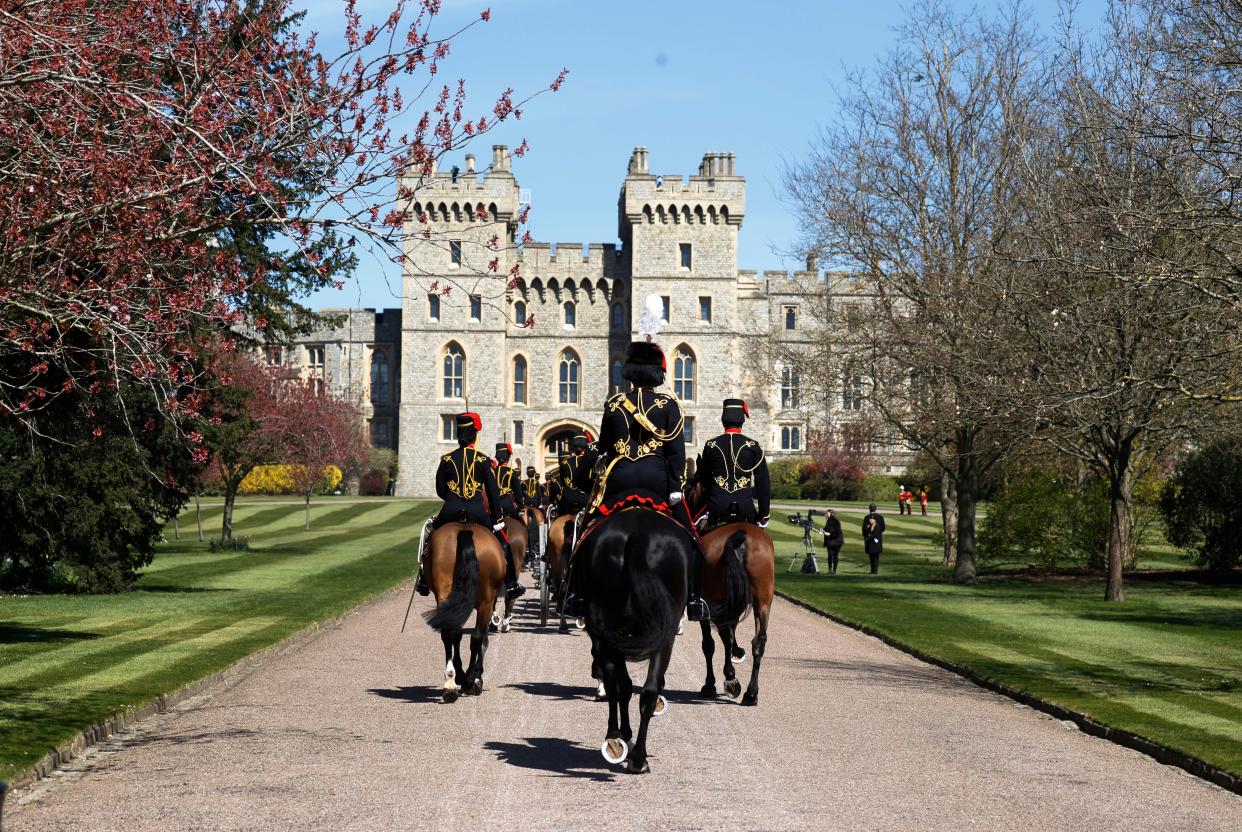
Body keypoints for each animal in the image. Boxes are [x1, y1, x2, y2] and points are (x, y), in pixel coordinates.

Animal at [424, 529, 506, 705]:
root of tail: (465, 530)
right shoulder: (488, 603)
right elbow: (482, 641)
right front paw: (476, 678)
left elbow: (458, 636)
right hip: (486, 602)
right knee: (477, 637)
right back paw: (467, 679)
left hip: (445, 595)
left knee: (450, 633)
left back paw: (450, 682)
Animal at [568, 509, 690, 774]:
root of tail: (638, 535)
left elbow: (620, 684)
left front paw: (620, 732)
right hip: (663, 633)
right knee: (649, 691)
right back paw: (638, 757)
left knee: (622, 683)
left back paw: (619, 741)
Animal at [700, 524, 775, 705]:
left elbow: (709, 644)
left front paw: (711, 684)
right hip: (762, 603)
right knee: (759, 642)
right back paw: (751, 693)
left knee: (723, 639)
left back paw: (731, 680)